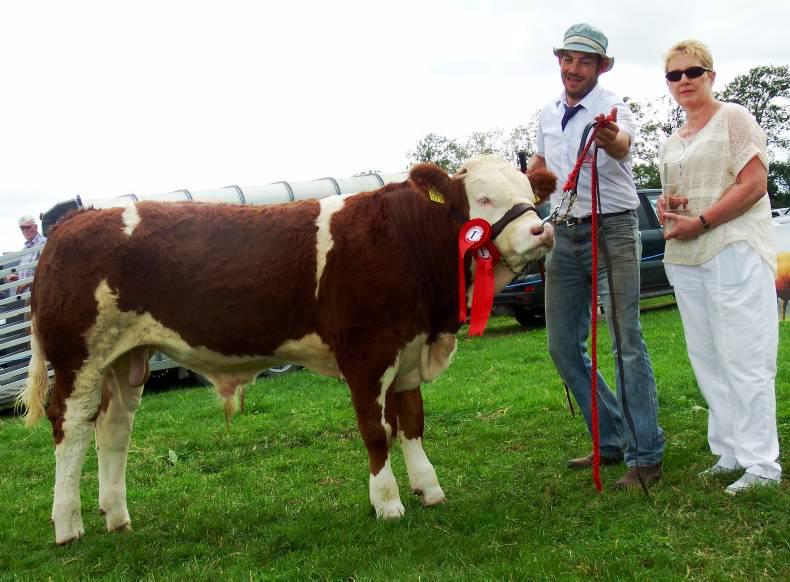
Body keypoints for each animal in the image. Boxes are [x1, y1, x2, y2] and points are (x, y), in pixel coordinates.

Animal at [19, 155, 556, 545]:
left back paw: (117, 518)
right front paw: (387, 503)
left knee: (113, 430)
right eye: (483, 197)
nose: (541, 229)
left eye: (530, 194)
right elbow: (377, 431)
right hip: (79, 358)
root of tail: (69, 225)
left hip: (125, 358)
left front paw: (430, 489)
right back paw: (68, 526)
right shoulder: (365, 354)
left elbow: (412, 422)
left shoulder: (408, 348)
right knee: (71, 428)